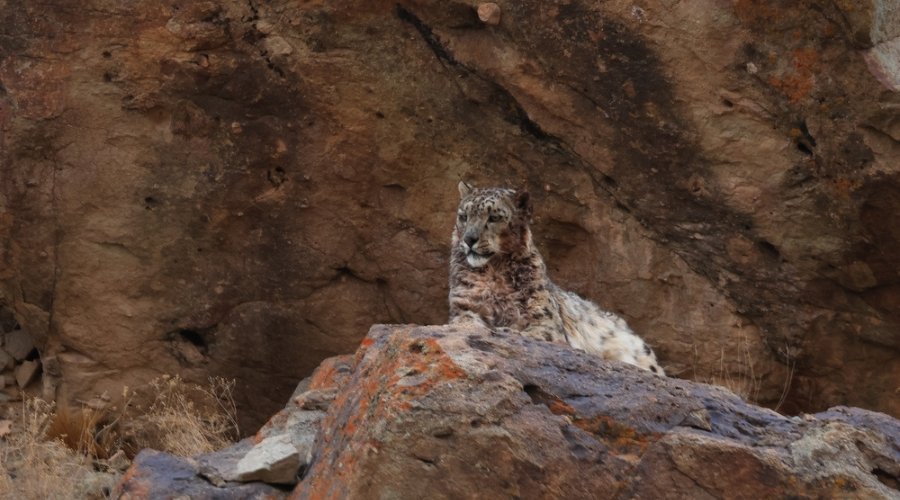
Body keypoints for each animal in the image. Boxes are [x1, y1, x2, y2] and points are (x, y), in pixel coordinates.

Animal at [448, 181, 664, 375]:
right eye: (464, 216)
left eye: (493, 217)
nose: (469, 239)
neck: (494, 271)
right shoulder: (465, 305)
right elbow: (465, 322)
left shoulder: (543, 318)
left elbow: (535, 333)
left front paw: (508, 332)